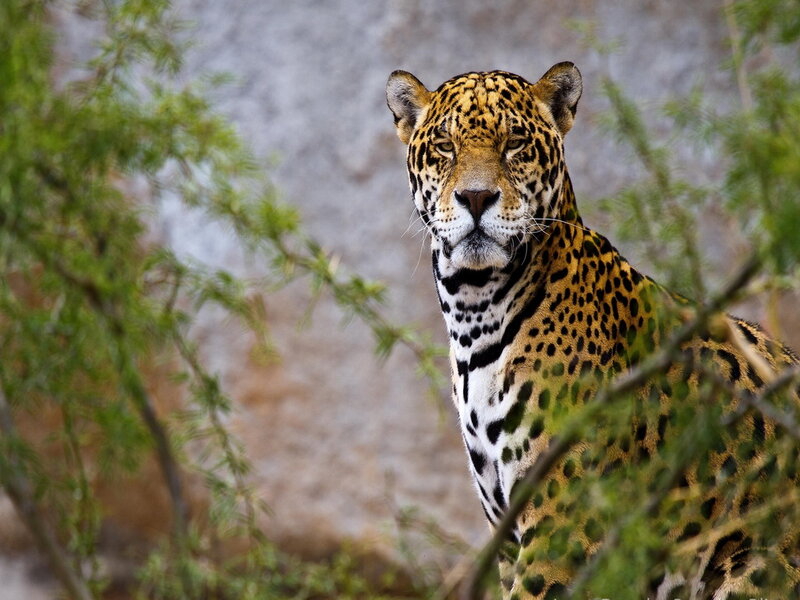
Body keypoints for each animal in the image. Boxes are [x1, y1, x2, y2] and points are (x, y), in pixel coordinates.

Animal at [385, 62, 800, 599]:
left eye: (514, 143)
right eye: (444, 146)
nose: (476, 197)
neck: (475, 312)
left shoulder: (561, 531)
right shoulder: (508, 535)